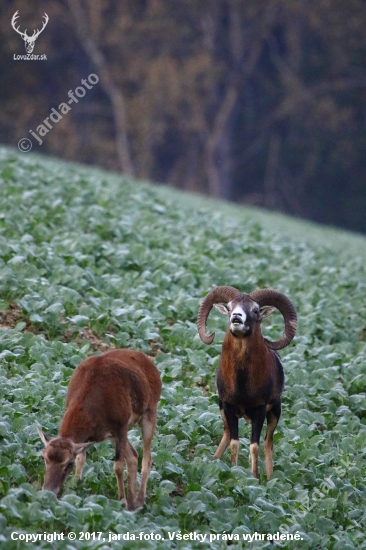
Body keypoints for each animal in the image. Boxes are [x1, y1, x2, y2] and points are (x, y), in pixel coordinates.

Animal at [37, 352, 162, 512]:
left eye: (69, 464)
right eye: (43, 458)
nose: (48, 491)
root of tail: (151, 362)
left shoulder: (121, 425)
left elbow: (118, 467)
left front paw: (121, 502)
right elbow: (82, 458)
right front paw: (75, 488)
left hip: (150, 411)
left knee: (147, 458)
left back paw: (139, 502)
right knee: (133, 455)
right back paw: (132, 503)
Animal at [197, 286, 298, 480]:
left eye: (255, 310)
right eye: (229, 307)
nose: (236, 317)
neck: (242, 384)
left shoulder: (259, 411)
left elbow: (254, 446)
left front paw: (254, 478)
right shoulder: (228, 407)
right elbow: (234, 442)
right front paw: (233, 471)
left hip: (275, 412)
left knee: (268, 443)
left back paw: (270, 478)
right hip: (223, 411)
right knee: (227, 434)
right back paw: (214, 460)